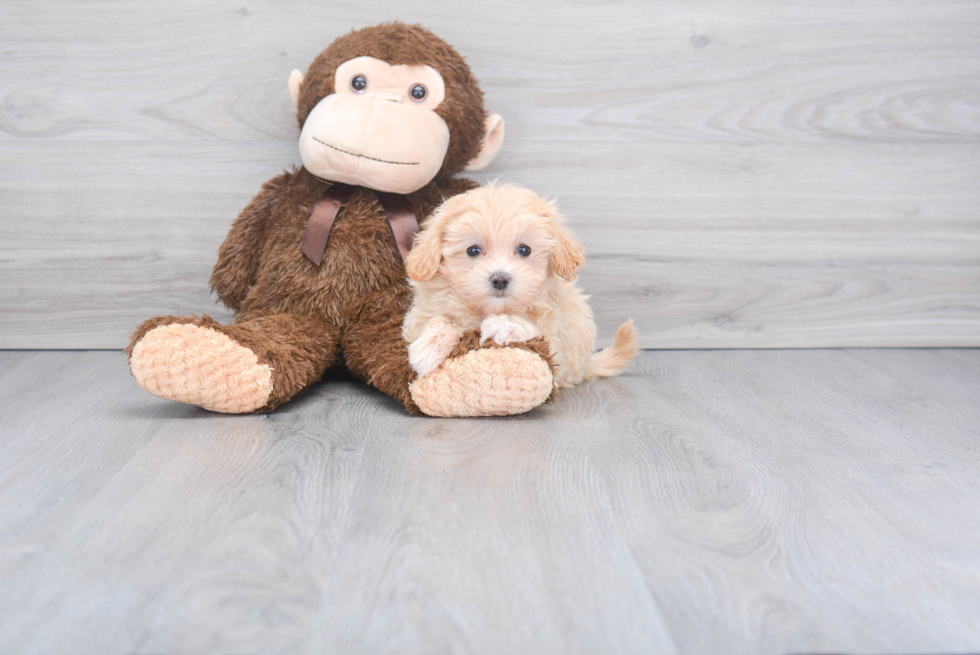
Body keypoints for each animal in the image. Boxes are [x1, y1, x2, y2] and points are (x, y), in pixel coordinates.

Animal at [402, 183, 640, 390]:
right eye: (473, 250)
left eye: (524, 250)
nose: (499, 279)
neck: (491, 308)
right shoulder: (422, 313)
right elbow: (439, 318)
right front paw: (429, 347)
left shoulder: (557, 339)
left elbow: (533, 328)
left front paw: (504, 325)